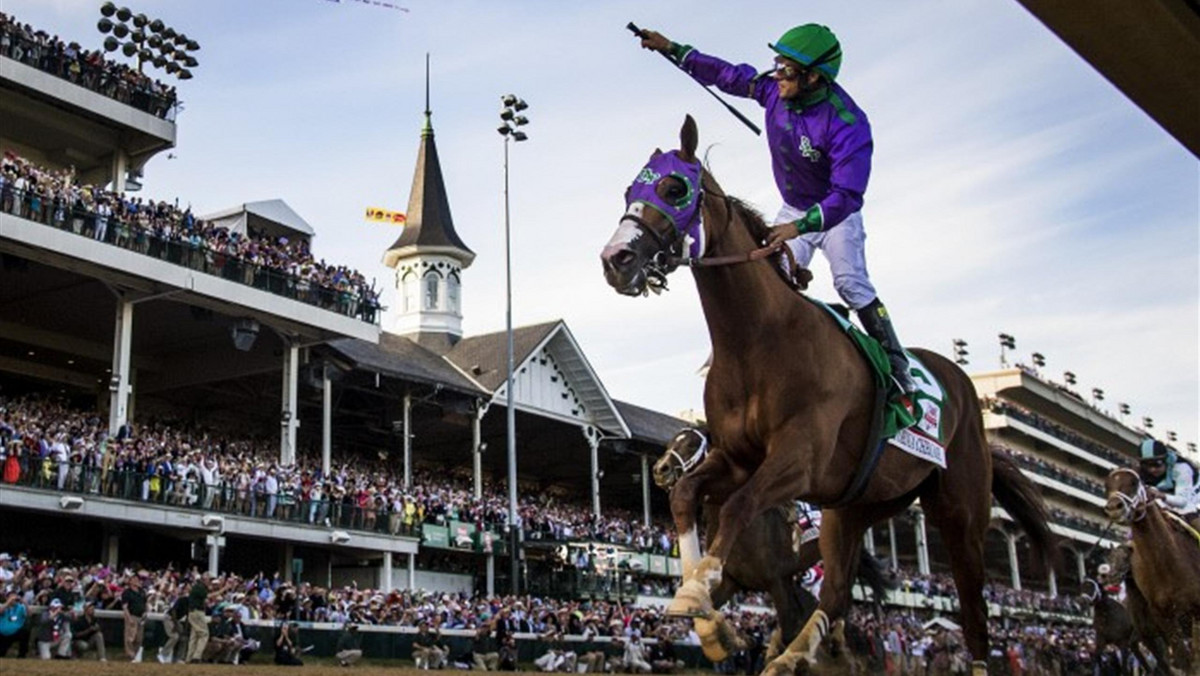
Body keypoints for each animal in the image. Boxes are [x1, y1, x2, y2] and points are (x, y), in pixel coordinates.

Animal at [600, 113, 1060, 672]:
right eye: (630, 191)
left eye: (673, 188)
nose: (616, 258)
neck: (758, 338)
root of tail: (966, 390)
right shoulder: (739, 458)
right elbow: (688, 496)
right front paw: (707, 617)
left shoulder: (800, 458)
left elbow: (738, 506)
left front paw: (695, 594)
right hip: (857, 505)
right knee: (838, 592)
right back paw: (793, 657)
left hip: (960, 511)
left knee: (973, 606)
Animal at [1104, 468, 1200, 672]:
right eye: (1107, 485)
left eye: (1134, 482)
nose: (1114, 507)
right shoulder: (1161, 622)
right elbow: (1181, 662)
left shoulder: (1195, 610)